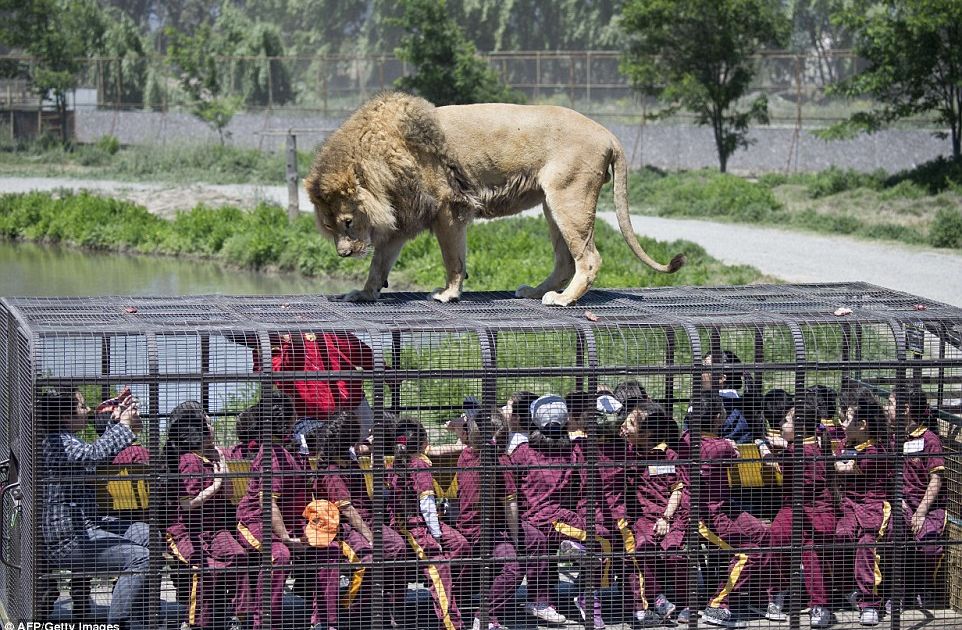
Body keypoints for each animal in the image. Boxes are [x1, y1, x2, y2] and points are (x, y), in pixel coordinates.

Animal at [304, 90, 688, 306]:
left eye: (347, 222)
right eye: (329, 227)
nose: (342, 253)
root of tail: (608, 132)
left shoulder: (449, 209)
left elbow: (453, 259)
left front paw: (447, 294)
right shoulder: (403, 219)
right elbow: (378, 264)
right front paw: (363, 293)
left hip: (570, 198)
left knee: (589, 259)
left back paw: (562, 300)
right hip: (552, 204)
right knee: (565, 260)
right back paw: (534, 292)